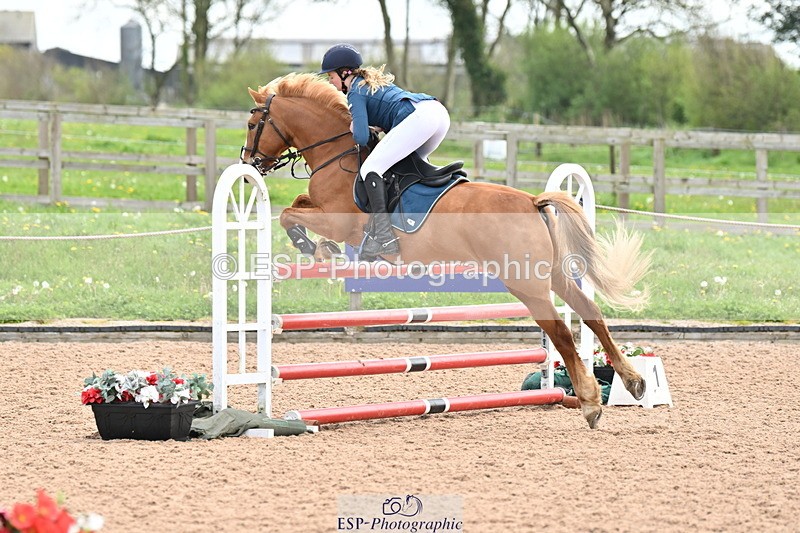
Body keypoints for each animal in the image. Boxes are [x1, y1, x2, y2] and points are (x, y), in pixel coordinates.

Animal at [241, 73, 652, 429]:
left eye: (252, 123)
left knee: (562, 332)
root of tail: (533, 201)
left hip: (526, 285)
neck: (334, 153)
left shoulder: (340, 223)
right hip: (551, 275)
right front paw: (319, 246)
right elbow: (297, 203)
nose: (248, 163)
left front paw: (313, 246)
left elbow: (289, 213)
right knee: (591, 313)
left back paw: (590, 403)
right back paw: (632, 382)